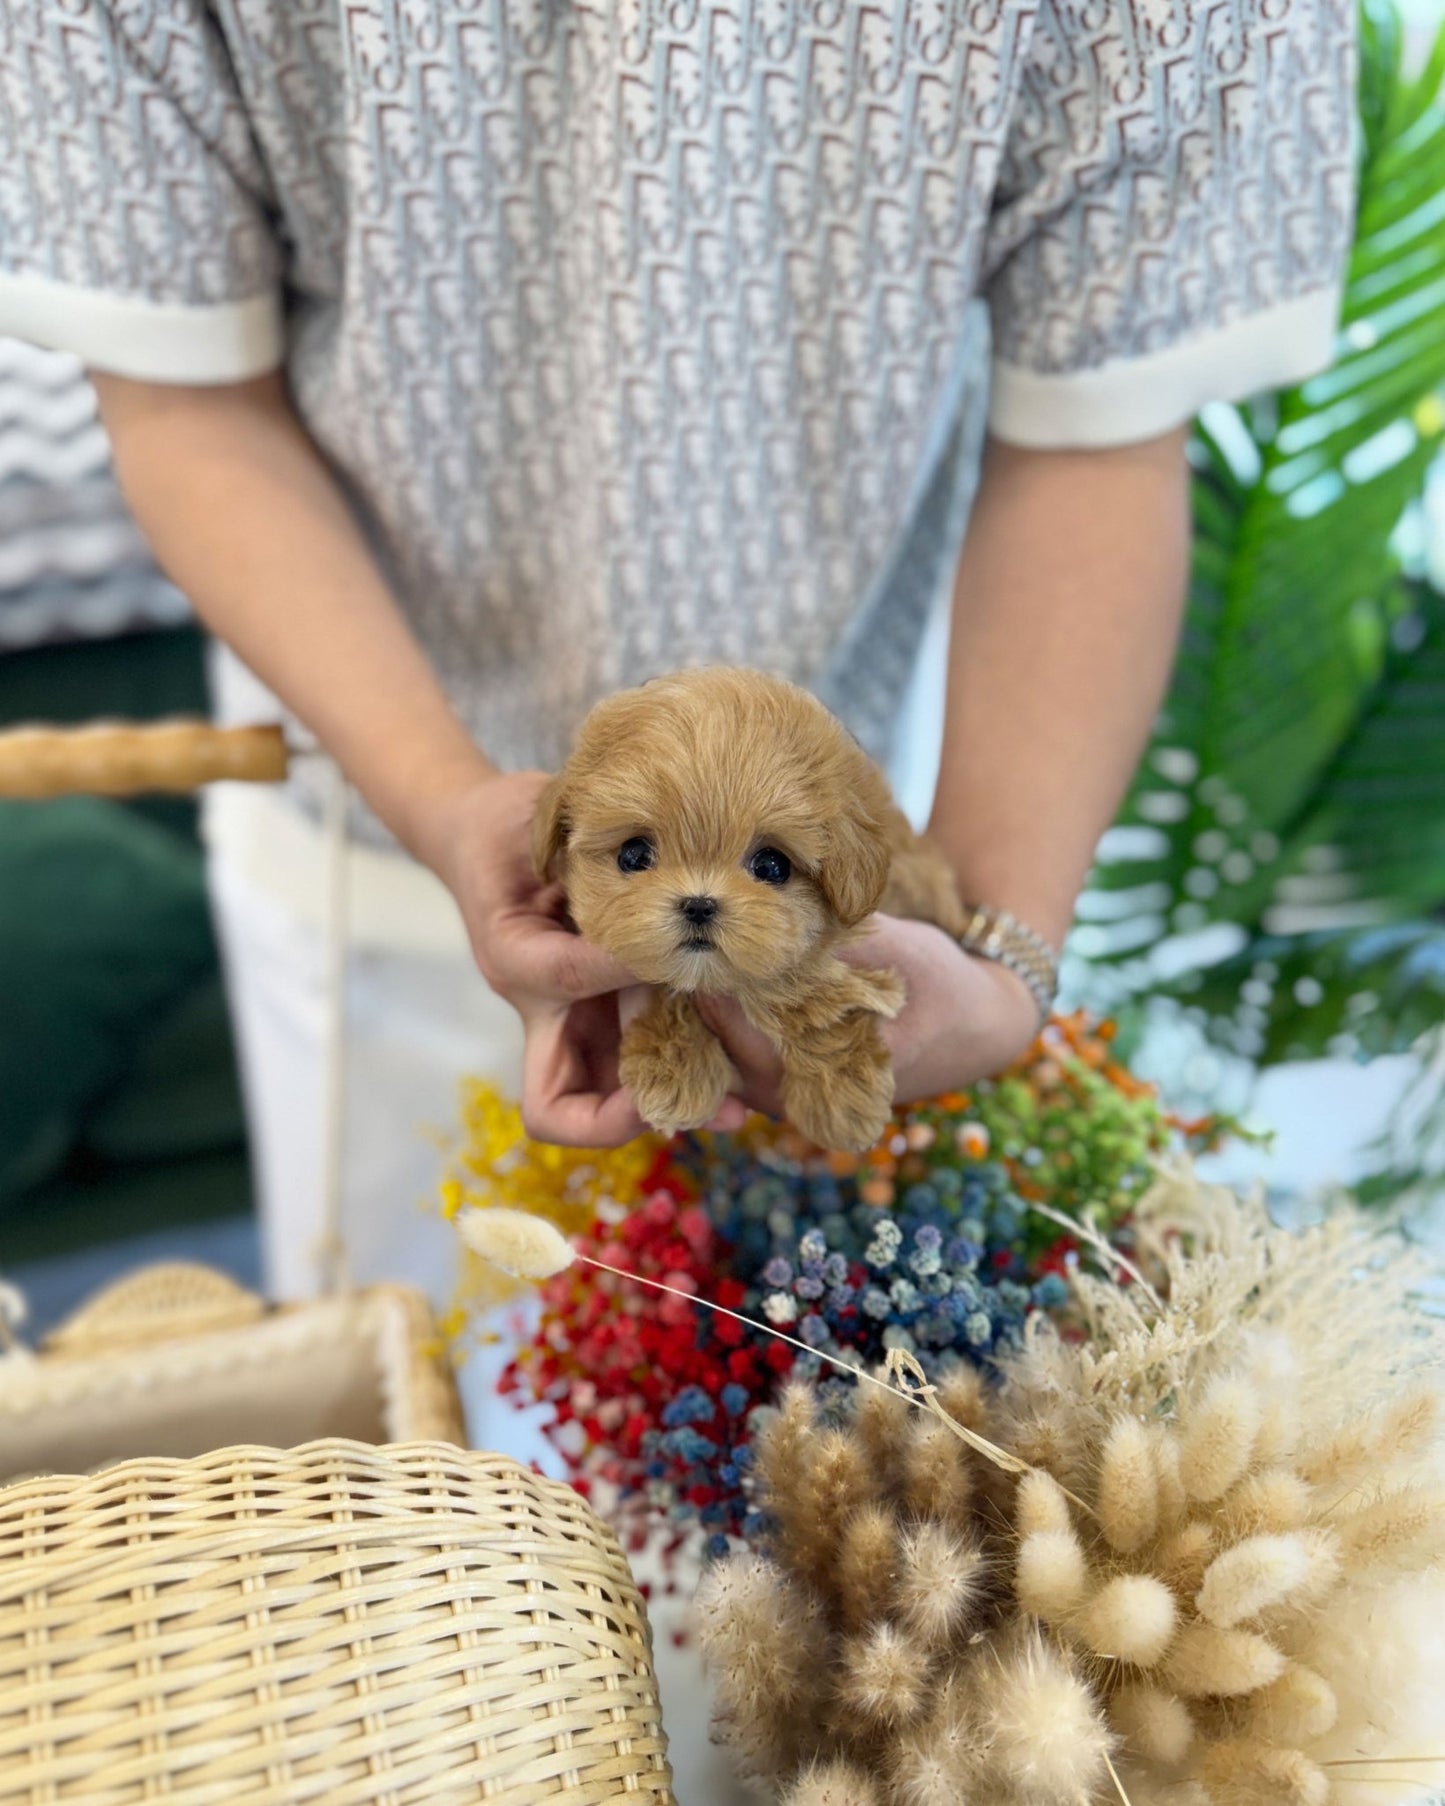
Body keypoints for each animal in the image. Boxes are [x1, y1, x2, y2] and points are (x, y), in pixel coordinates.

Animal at [527, 671, 960, 1148]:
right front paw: (674, 1070)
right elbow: (668, 985)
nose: (699, 905)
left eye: (772, 866)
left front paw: (841, 1097)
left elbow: (813, 998)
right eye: (634, 855)